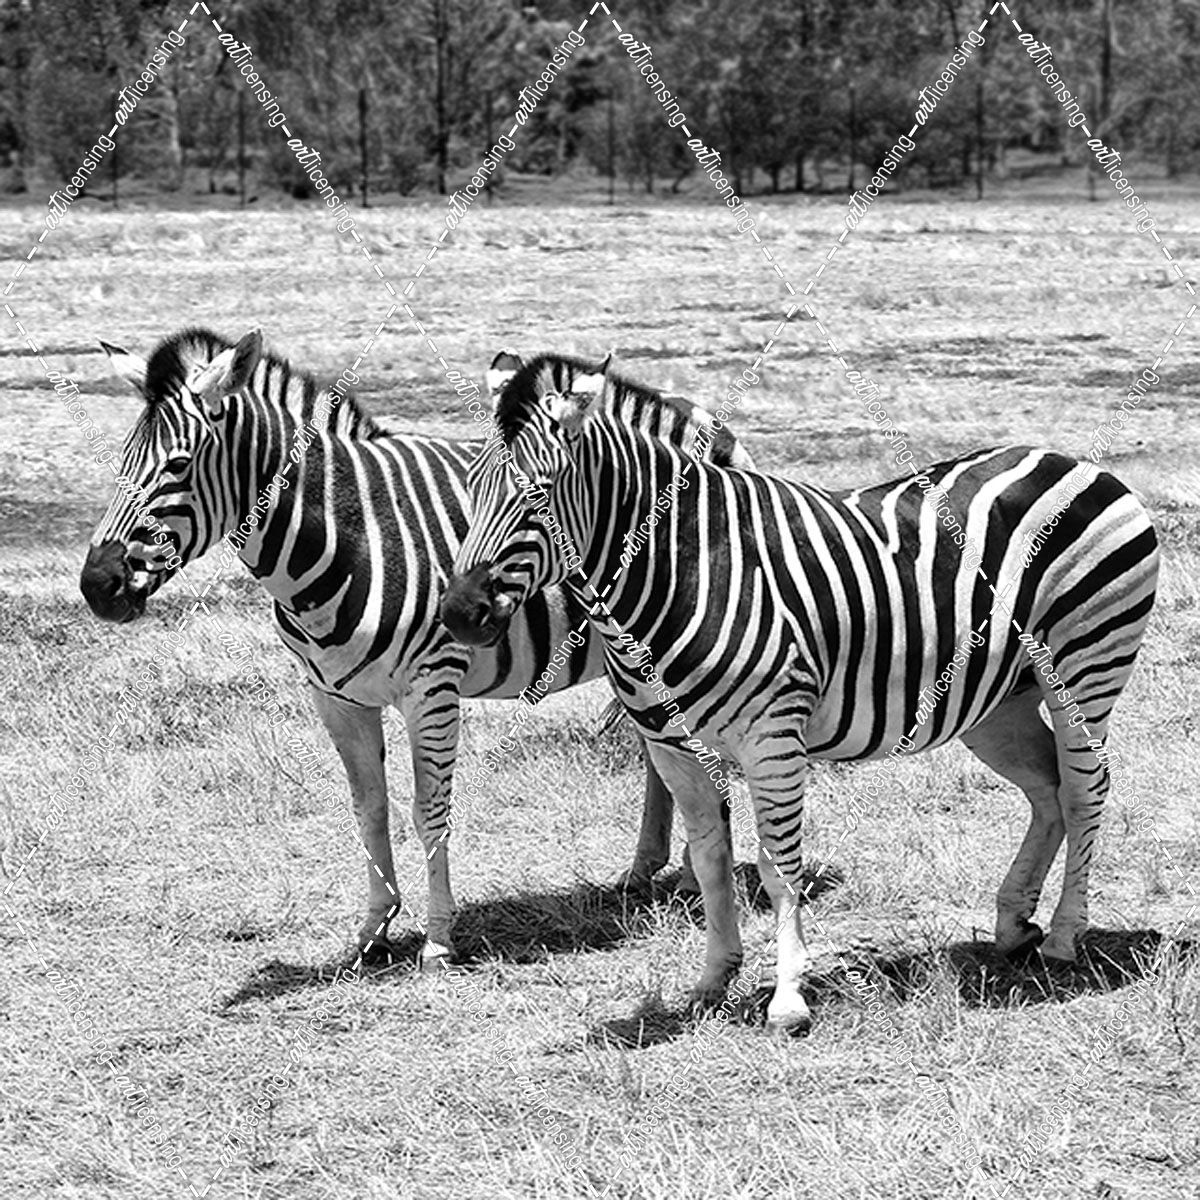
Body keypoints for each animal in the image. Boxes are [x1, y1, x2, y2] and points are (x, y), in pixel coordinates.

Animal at [79, 328, 748, 967]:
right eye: (122, 459)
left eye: (178, 465)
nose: (97, 586)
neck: (345, 539)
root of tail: (697, 418)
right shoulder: (335, 697)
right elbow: (369, 808)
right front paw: (373, 930)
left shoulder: (432, 688)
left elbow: (430, 811)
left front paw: (438, 940)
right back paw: (650, 871)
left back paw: (688, 877)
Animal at [440, 364, 1159, 1034]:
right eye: (470, 491)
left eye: (538, 495)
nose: (457, 614)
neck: (682, 571)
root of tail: (1076, 461)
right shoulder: (672, 747)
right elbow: (710, 863)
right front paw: (712, 980)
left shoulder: (773, 738)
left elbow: (777, 867)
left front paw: (787, 998)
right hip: (996, 701)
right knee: (1046, 791)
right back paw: (1014, 924)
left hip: (1084, 665)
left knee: (1083, 789)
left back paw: (1064, 936)